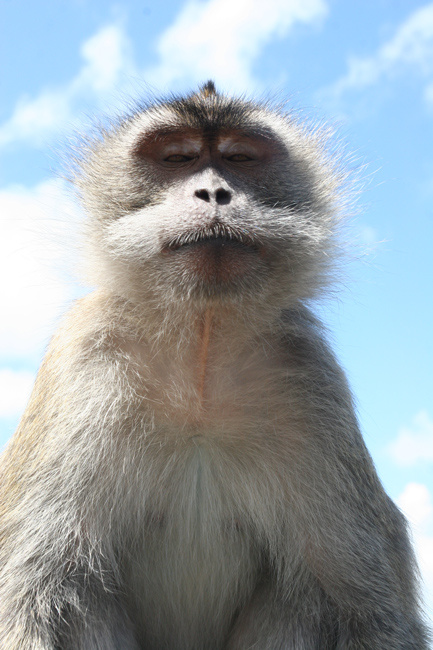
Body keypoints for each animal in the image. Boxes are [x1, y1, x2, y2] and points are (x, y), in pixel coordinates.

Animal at [0, 80, 430, 649]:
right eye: (177, 158)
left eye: (240, 157)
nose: (214, 194)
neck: (202, 351)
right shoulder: (84, 360)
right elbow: (33, 592)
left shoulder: (309, 376)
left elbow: (371, 615)